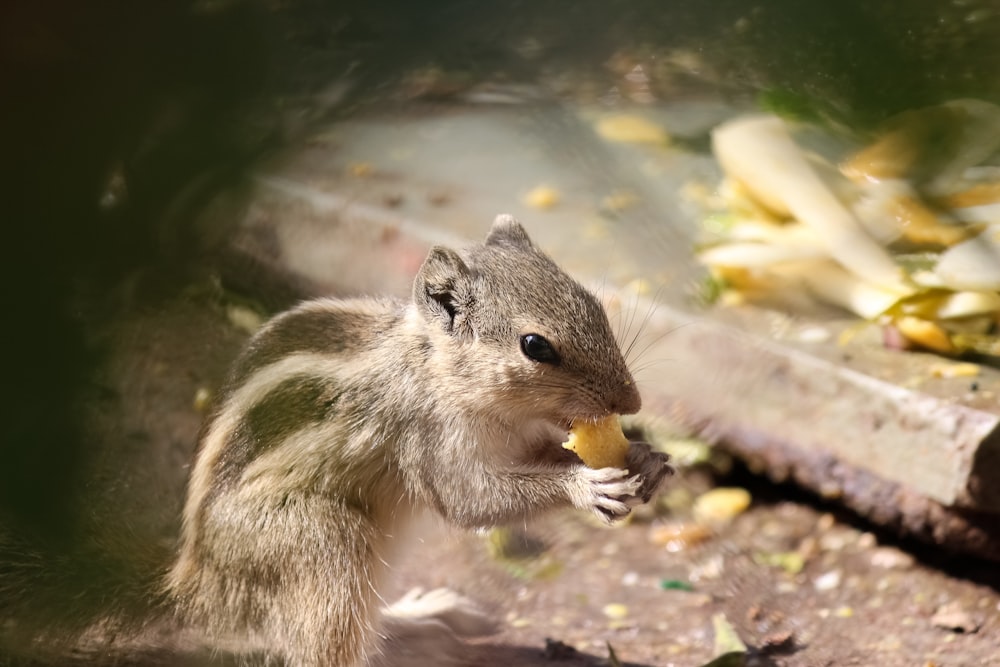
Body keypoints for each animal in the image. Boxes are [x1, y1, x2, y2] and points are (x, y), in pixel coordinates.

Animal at [3, 217, 672, 664]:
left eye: (593, 303)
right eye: (536, 346)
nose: (633, 404)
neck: (436, 367)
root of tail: (194, 589)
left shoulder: (522, 433)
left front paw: (647, 458)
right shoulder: (429, 441)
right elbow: (473, 501)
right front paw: (586, 485)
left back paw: (423, 618)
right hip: (324, 541)